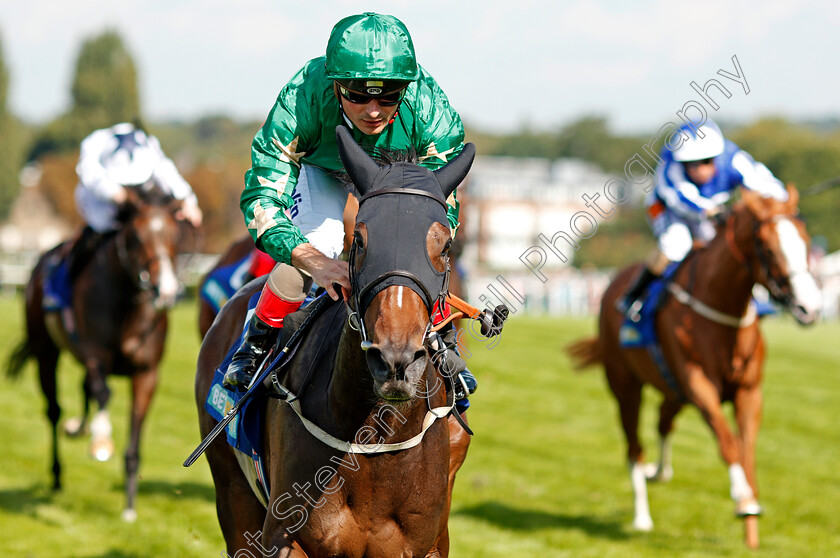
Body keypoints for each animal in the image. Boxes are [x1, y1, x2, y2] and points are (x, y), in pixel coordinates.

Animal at [6, 186, 188, 524]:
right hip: (46, 351)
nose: (166, 290)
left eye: (175, 233)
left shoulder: (147, 372)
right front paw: (101, 440)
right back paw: (58, 472)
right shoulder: (95, 355)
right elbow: (103, 392)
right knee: (55, 410)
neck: (128, 306)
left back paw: (78, 428)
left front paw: (129, 506)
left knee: (83, 390)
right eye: (136, 236)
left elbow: (133, 439)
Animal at [193, 128, 476, 558]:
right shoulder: (286, 539)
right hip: (232, 490)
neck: (373, 442)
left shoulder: (429, 545)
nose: (395, 360)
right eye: (359, 240)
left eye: (444, 246)